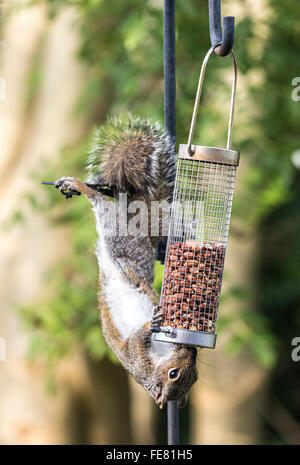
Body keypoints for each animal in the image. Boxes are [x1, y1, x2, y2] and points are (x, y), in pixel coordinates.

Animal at [55, 115, 198, 406]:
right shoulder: (137, 356)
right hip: (119, 238)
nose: (193, 351)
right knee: (99, 201)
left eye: (196, 375)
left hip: (120, 242)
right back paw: (79, 185)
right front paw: (152, 323)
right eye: (174, 374)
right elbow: (137, 338)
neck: (160, 356)